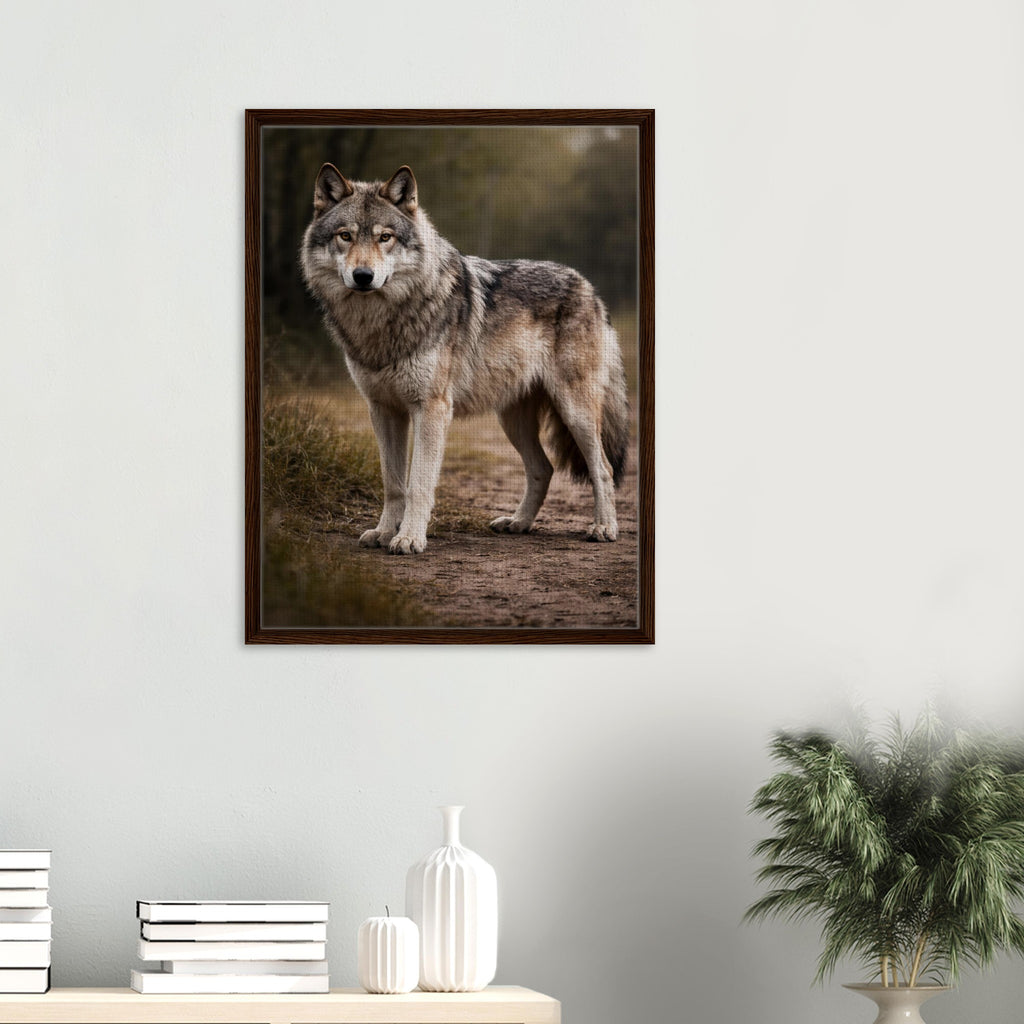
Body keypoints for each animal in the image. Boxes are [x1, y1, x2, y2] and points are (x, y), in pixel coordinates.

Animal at [300, 163, 629, 555]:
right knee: (543, 469)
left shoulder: (432, 409)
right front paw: (382, 532)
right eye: (346, 236)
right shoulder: (382, 409)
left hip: (575, 411)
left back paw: (604, 527)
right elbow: (393, 483)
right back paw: (518, 523)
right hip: (512, 420)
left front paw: (409, 538)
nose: (363, 276)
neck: (382, 322)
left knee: (603, 468)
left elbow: (418, 483)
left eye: (385, 238)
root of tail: (589, 287)